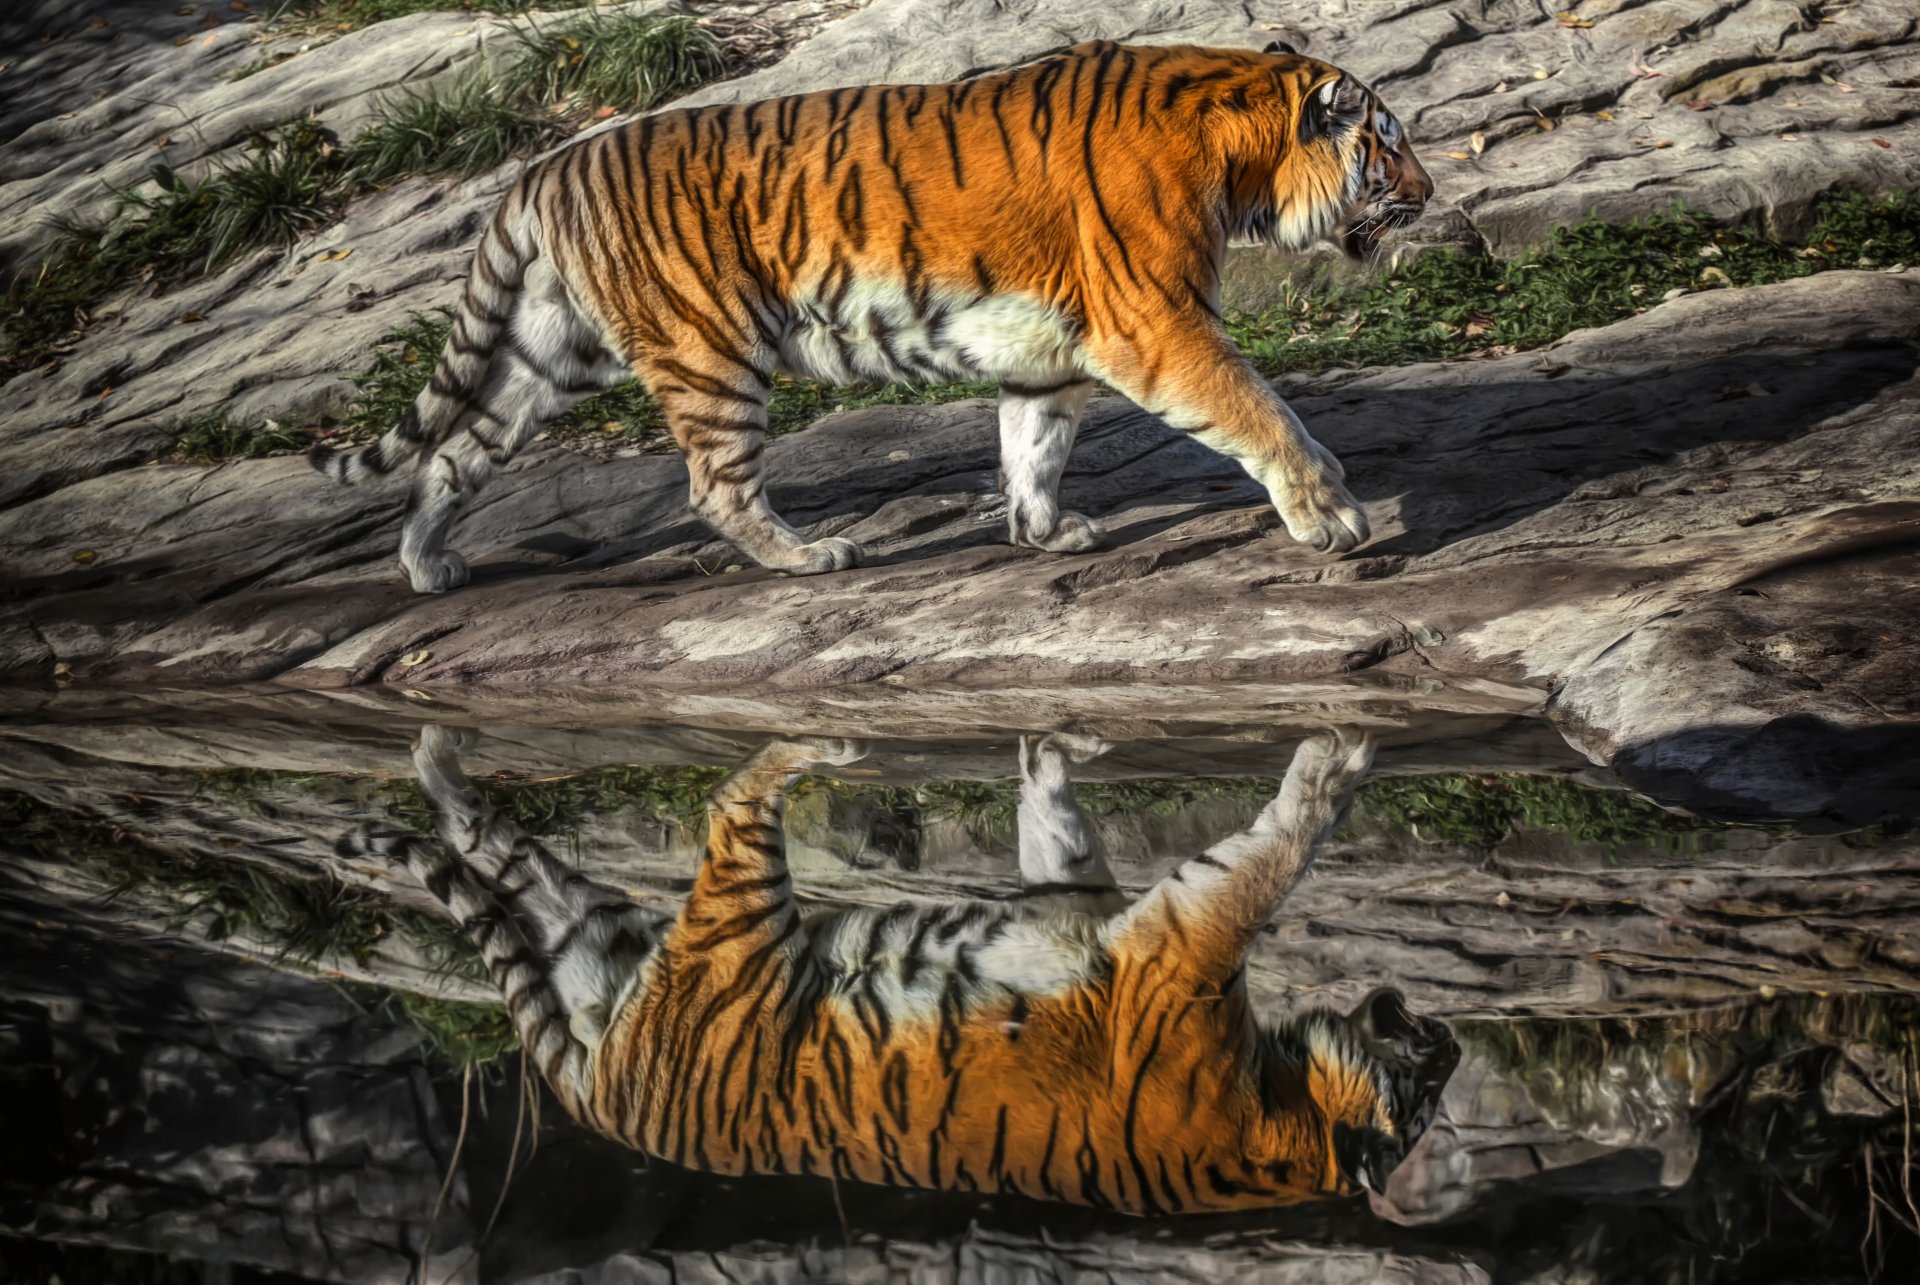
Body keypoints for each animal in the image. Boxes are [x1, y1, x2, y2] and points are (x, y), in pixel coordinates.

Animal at [310, 40, 1434, 593]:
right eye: (1388, 143)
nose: (1428, 192)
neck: (1240, 151)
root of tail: (544, 166)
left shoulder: (1054, 348)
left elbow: (1033, 442)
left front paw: (1044, 532)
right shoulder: (1156, 323)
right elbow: (1261, 411)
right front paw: (1334, 516)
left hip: (553, 357)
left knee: (453, 452)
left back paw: (427, 565)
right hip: (710, 349)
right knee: (713, 485)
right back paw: (811, 558)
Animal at [339, 725, 1459, 1214]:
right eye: (1430, 1081)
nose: (1447, 1032)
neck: (1283, 1115)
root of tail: (604, 1093)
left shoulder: (1171, 942)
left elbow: (1268, 857)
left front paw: (1337, 759)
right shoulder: (1113, 919)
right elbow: (1068, 831)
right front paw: (1056, 747)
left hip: (711, 926)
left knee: (723, 798)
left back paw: (823, 739)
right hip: (628, 935)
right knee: (496, 841)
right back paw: (425, 765)